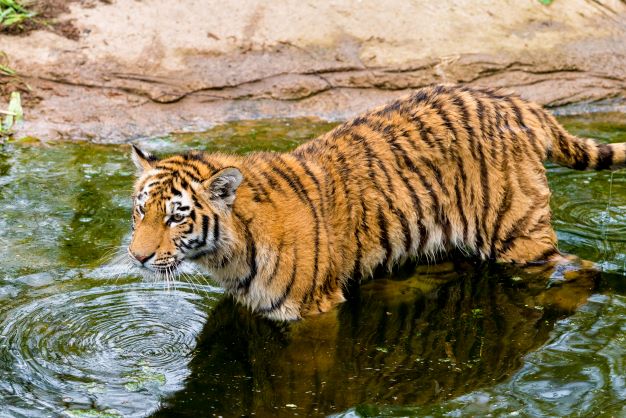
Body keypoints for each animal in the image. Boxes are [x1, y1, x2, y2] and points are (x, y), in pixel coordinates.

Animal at [128, 84, 624, 320]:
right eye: (140, 211)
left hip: (518, 232)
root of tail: (519, 102)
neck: (226, 256)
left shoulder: (313, 312)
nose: (136, 257)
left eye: (176, 218)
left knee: (580, 266)